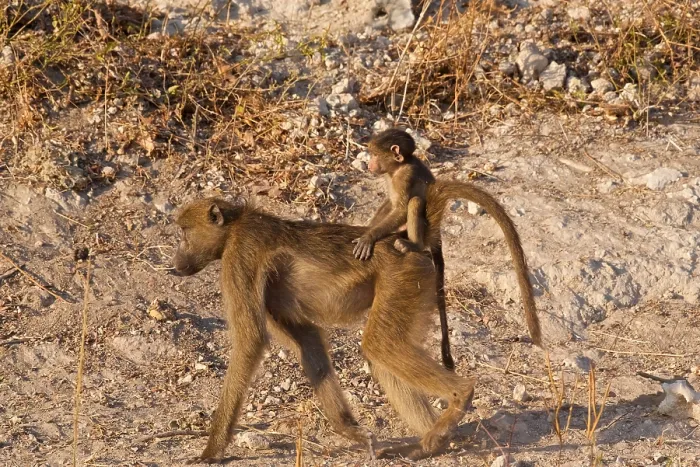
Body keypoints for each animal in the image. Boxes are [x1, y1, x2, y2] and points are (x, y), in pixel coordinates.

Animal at [172, 197, 481, 464]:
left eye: (185, 233)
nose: (175, 264)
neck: (235, 225)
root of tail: (414, 247)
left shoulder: (240, 258)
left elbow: (250, 340)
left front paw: (211, 451)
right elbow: (307, 337)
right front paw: (352, 431)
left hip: (402, 278)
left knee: (379, 344)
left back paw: (456, 404)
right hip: (414, 285)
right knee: (382, 356)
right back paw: (430, 444)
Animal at [352, 129, 543, 372]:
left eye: (375, 154)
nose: (369, 165)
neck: (399, 167)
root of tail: (433, 234)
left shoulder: (405, 177)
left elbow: (401, 208)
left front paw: (369, 237)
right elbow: (389, 205)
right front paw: (367, 228)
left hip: (425, 231)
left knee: (415, 203)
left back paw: (412, 245)